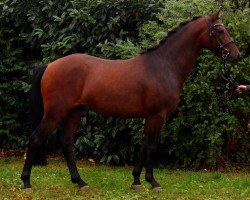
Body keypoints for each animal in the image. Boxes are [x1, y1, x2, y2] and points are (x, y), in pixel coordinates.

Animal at [21, 9, 240, 191]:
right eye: (220, 30)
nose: (236, 55)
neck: (163, 66)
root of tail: (50, 65)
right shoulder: (158, 116)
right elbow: (152, 146)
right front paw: (153, 182)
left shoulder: (150, 117)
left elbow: (143, 146)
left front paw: (136, 181)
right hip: (54, 113)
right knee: (36, 139)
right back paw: (26, 183)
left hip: (75, 112)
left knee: (66, 143)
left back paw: (80, 182)